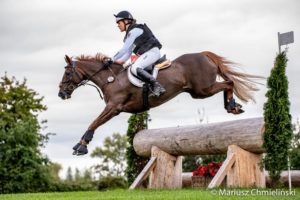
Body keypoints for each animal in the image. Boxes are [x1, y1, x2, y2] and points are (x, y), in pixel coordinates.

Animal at [58, 51, 262, 155]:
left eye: (67, 73)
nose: (61, 93)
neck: (111, 78)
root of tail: (204, 54)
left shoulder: (114, 107)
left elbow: (94, 122)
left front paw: (81, 146)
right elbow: (95, 122)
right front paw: (81, 145)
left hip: (203, 90)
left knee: (229, 83)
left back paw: (232, 106)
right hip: (198, 91)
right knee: (228, 83)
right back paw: (233, 106)